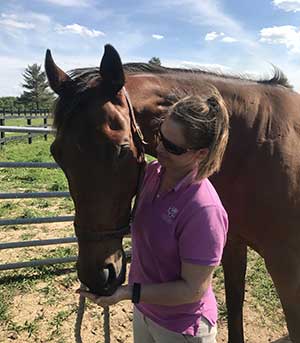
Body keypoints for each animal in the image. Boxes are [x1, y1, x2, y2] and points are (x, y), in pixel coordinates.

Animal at [44, 44, 300, 342]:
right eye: (57, 154)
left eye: (120, 150)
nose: (96, 276)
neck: (258, 144)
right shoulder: (232, 244)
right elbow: (235, 305)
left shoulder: (288, 268)